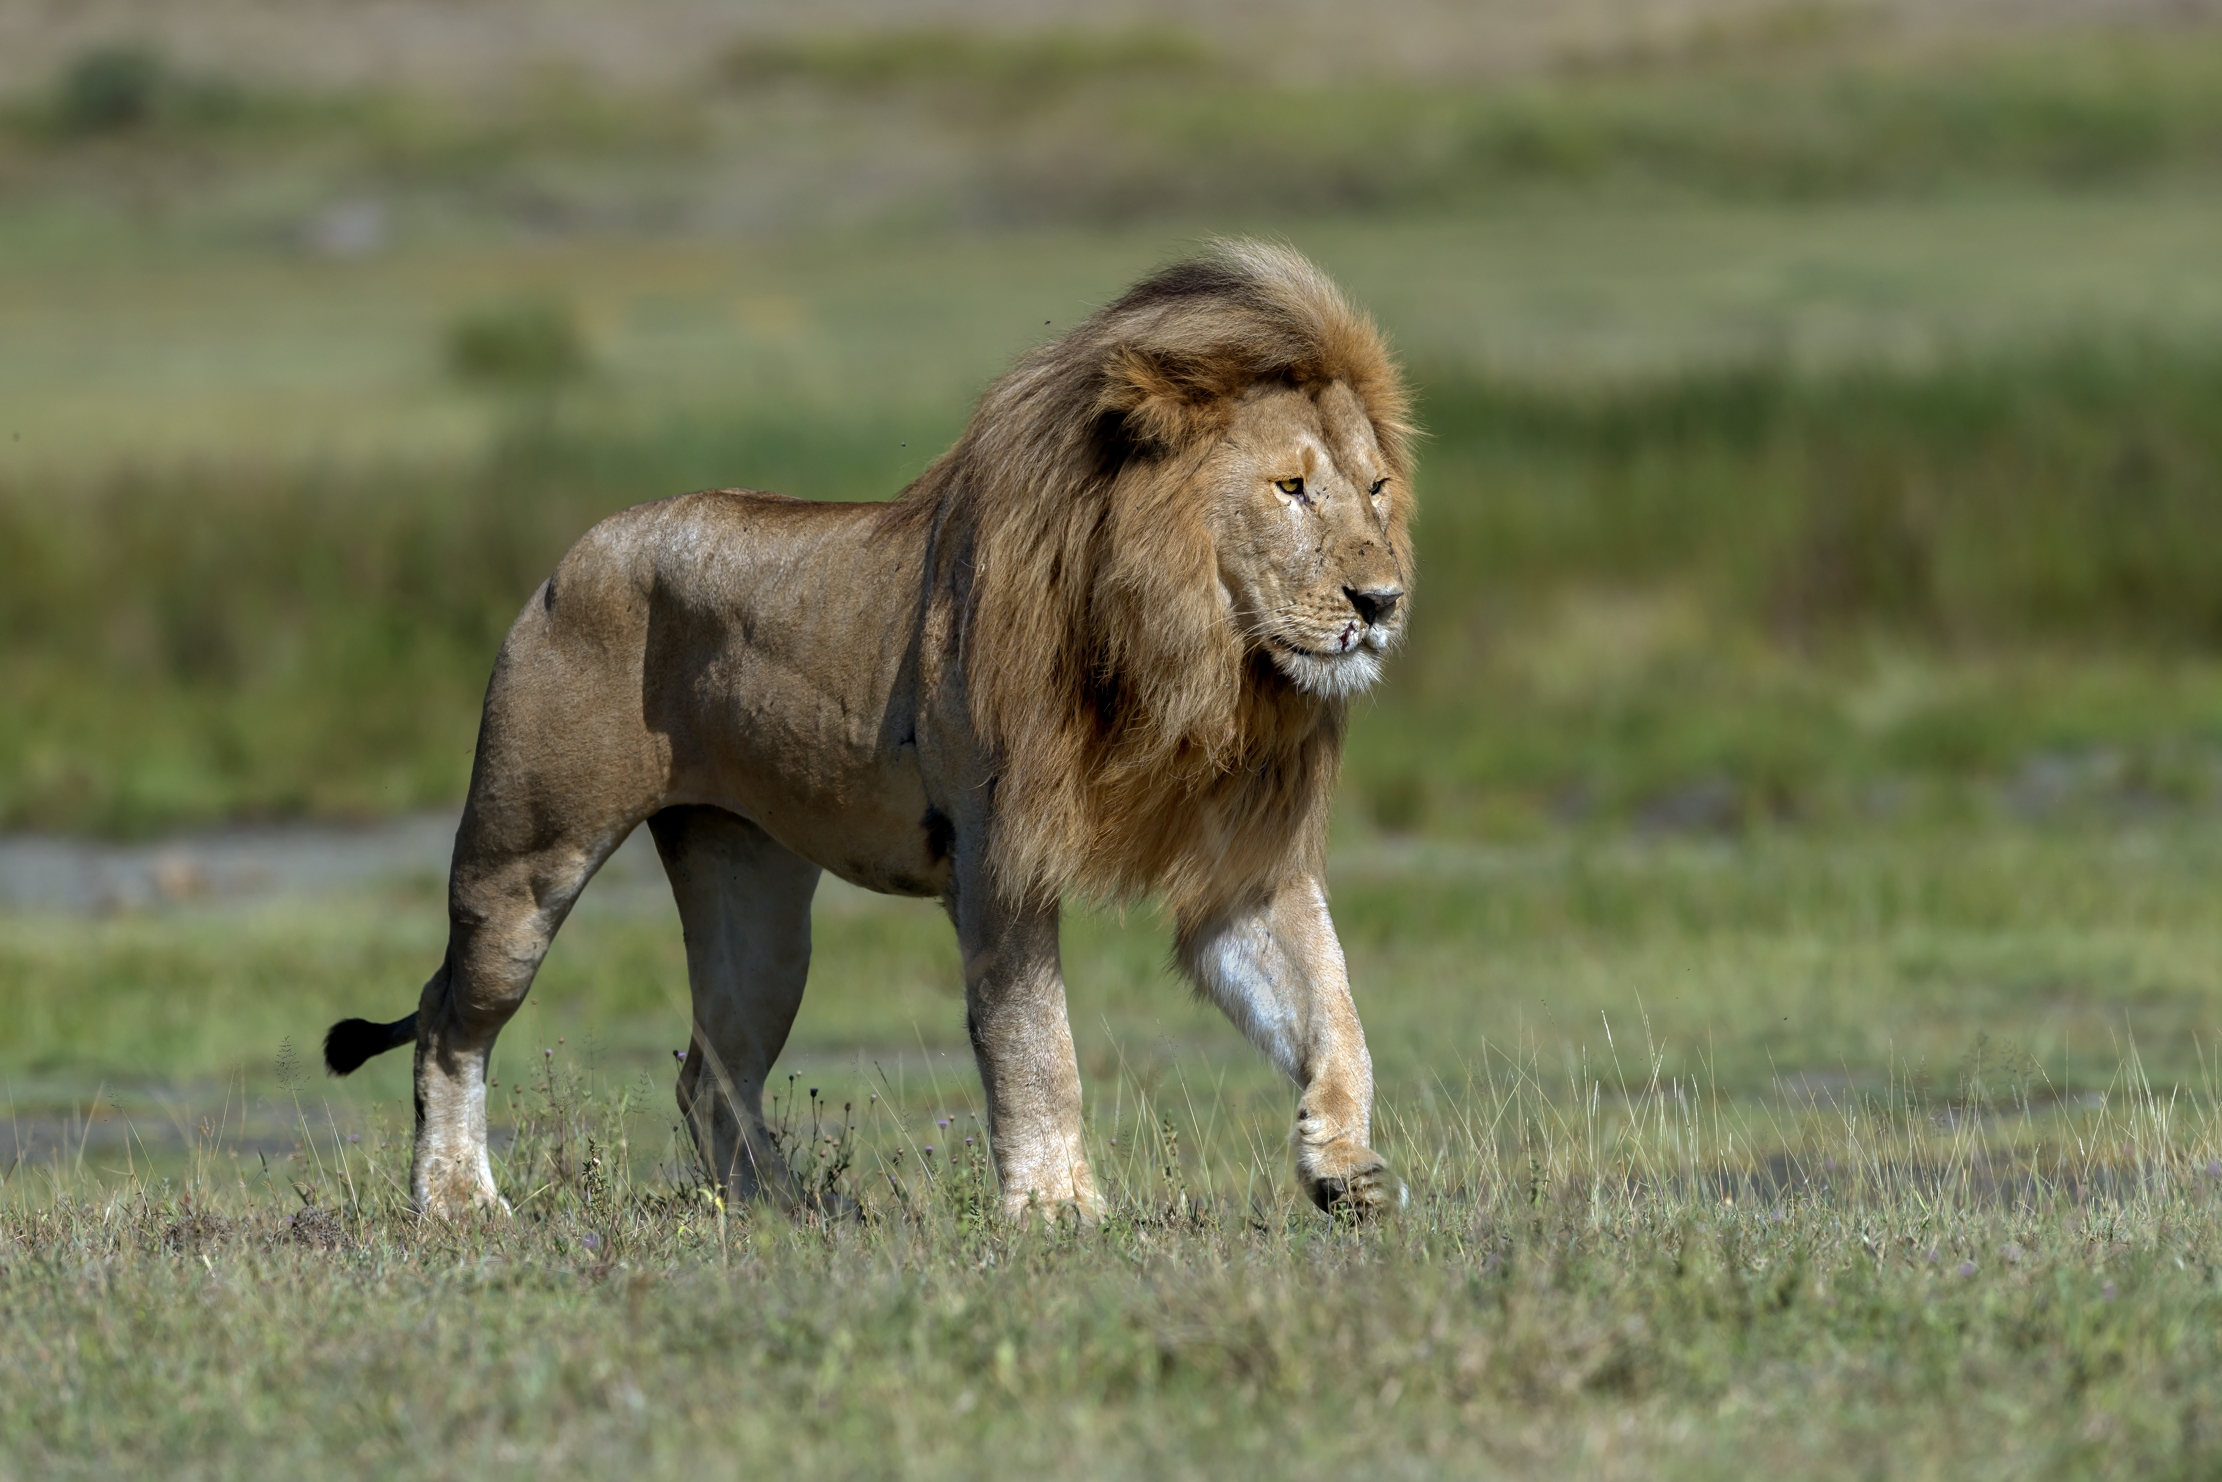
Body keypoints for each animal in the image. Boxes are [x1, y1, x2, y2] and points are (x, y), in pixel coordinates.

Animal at [323, 239, 1416, 1220]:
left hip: (755, 907)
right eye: (1288, 488)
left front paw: (1344, 1168)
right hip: (523, 862)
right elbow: (1037, 1048)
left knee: (707, 1071)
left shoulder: (1242, 869)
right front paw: (1056, 1207)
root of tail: (570, 556)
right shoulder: (997, 860)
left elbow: (1335, 1012)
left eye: (1374, 489)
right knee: (447, 1022)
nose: (1382, 601)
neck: (1197, 667)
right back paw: (458, 1202)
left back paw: (784, 1212)